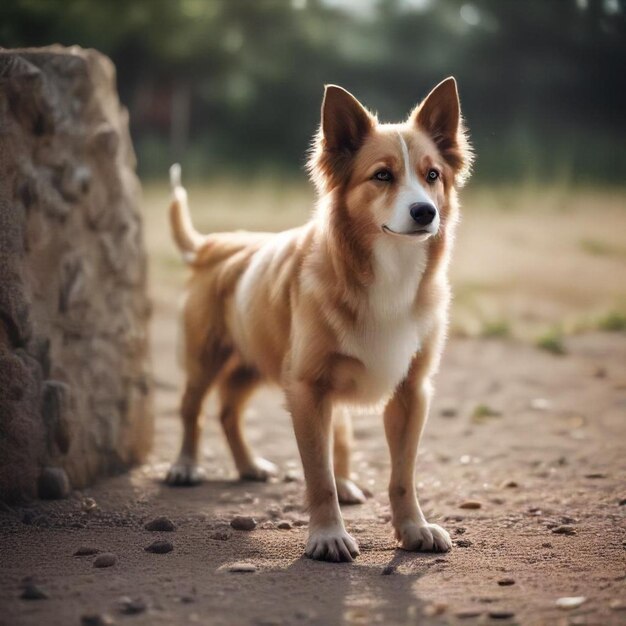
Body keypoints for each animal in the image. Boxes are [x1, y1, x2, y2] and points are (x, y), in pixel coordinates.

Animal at [165, 77, 468, 560]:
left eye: (433, 175)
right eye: (382, 175)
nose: (426, 212)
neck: (386, 271)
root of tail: (218, 243)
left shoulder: (412, 392)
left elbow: (402, 475)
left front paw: (413, 528)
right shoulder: (307, 389)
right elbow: (318, 475)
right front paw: (328, 535)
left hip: (255, 364)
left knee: (230, 410)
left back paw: (250, 465)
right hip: (205, 358)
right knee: (192, 408)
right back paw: (185, 464)